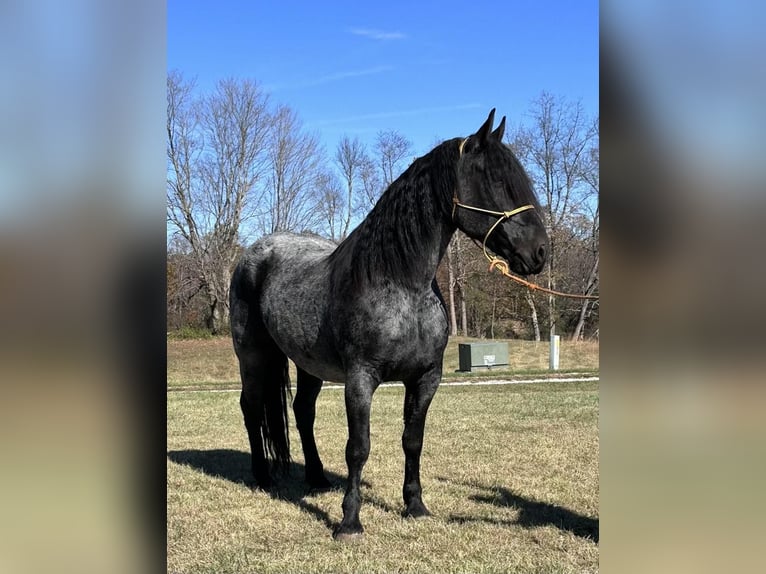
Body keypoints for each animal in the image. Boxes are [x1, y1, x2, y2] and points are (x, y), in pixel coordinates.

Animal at [231, 110, 548, 544]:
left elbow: (412, 441)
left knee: (302, 411)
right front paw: (349, 522)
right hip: (253, 355)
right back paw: (262, 477)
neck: (400, 284)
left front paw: (415, 505)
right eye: (496, 180)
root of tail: (254, 254)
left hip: (308, 364)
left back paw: (316, 477)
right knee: (251, 407)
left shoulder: (426, 378)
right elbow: (358, 447)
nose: (540, 252)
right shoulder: (360, 379)